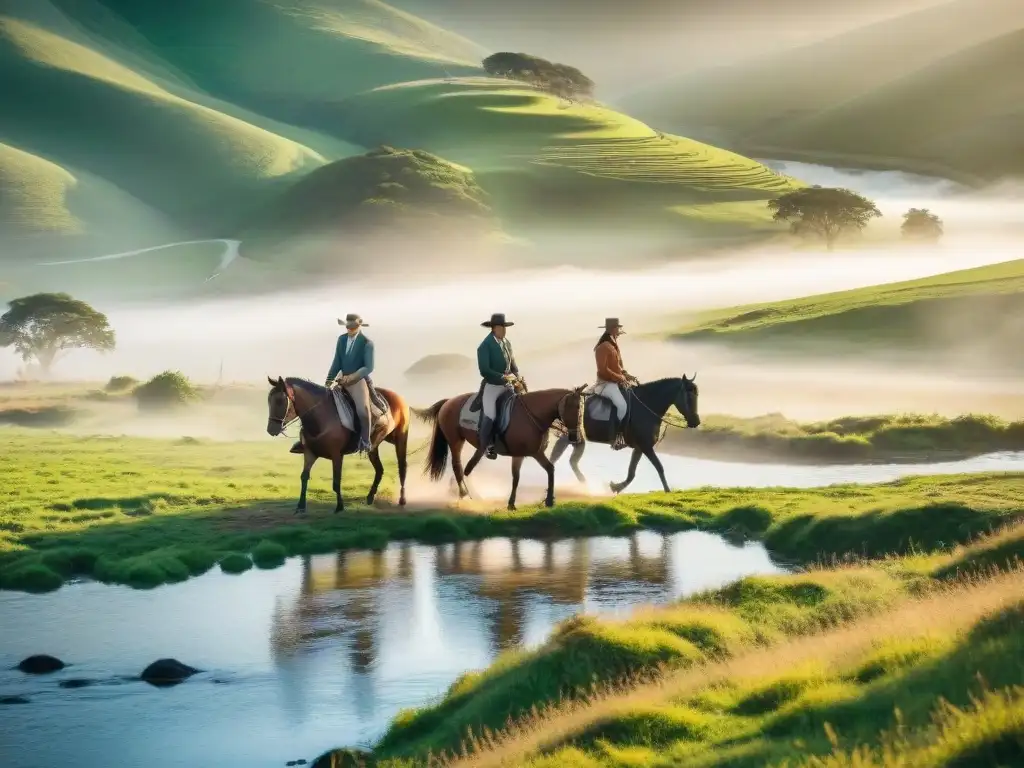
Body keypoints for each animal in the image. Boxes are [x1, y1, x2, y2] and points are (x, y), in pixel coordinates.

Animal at [268, 376, 411, 514]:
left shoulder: (337, 455)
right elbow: (304, 476)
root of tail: (398, 398)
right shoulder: (310, 453)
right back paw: (370, 497)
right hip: (374, 447)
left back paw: (402, 499)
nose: (271, 430)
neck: (321, 418)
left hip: (400, 439)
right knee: (379, 469)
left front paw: (339, 507)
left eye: (280, 401)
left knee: (402, 467)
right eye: (269, 400)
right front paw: (301, 506)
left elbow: (336, 481)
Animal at [409, 391, 585, 512]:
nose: (575, 437)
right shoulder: (535, 453)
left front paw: (512, 504)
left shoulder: (520, 454)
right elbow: (549, 469)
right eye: (573, 408)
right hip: (455, 441)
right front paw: (549, 500)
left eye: (581, 409)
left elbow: (517, 477)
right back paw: (465, 494)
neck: (532, 415)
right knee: (458, 466)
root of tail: (448, 402)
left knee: (466, 468)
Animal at [548, 376, 700, 495]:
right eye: (690, 396)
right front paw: (668, 491)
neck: (646, 406)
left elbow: (631, 472)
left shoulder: (640, 447)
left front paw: (616, 487)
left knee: (570, 461)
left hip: (576, 439)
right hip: (570, 437)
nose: (696, 422)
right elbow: (659, 467)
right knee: (560, 458)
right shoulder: (646, 446)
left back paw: (584, 484)